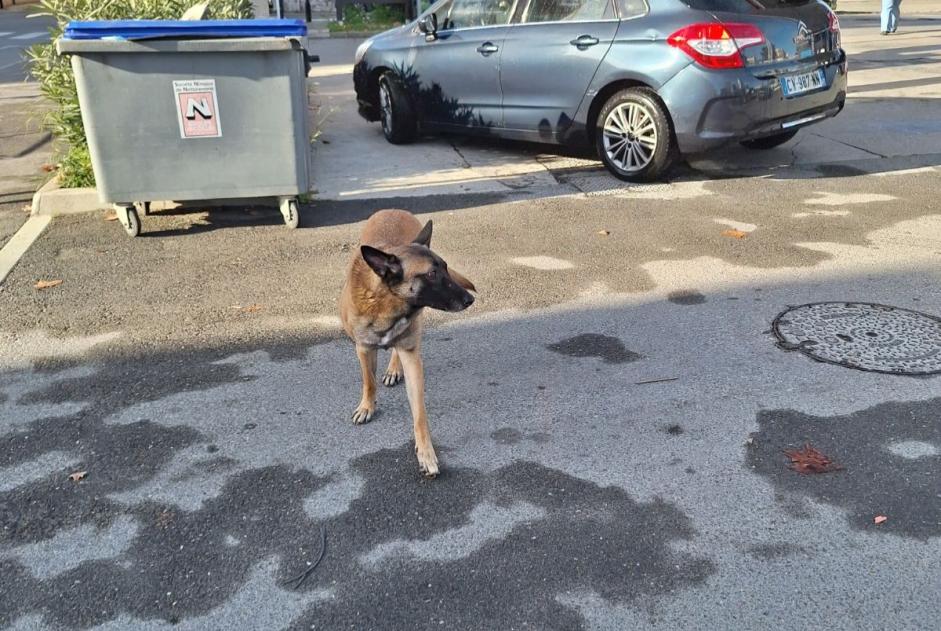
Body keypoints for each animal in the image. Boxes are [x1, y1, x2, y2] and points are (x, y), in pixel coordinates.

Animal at [338, 210, 474, 476]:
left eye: (445, 268)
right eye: (431, 274)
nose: (469, 299)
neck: (387, 303)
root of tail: (392, 210)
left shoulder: (412, 356)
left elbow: (420, 412)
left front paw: (426, 453)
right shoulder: (363, 349)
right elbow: (369, 382)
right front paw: (367, 407)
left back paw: (394, 368)